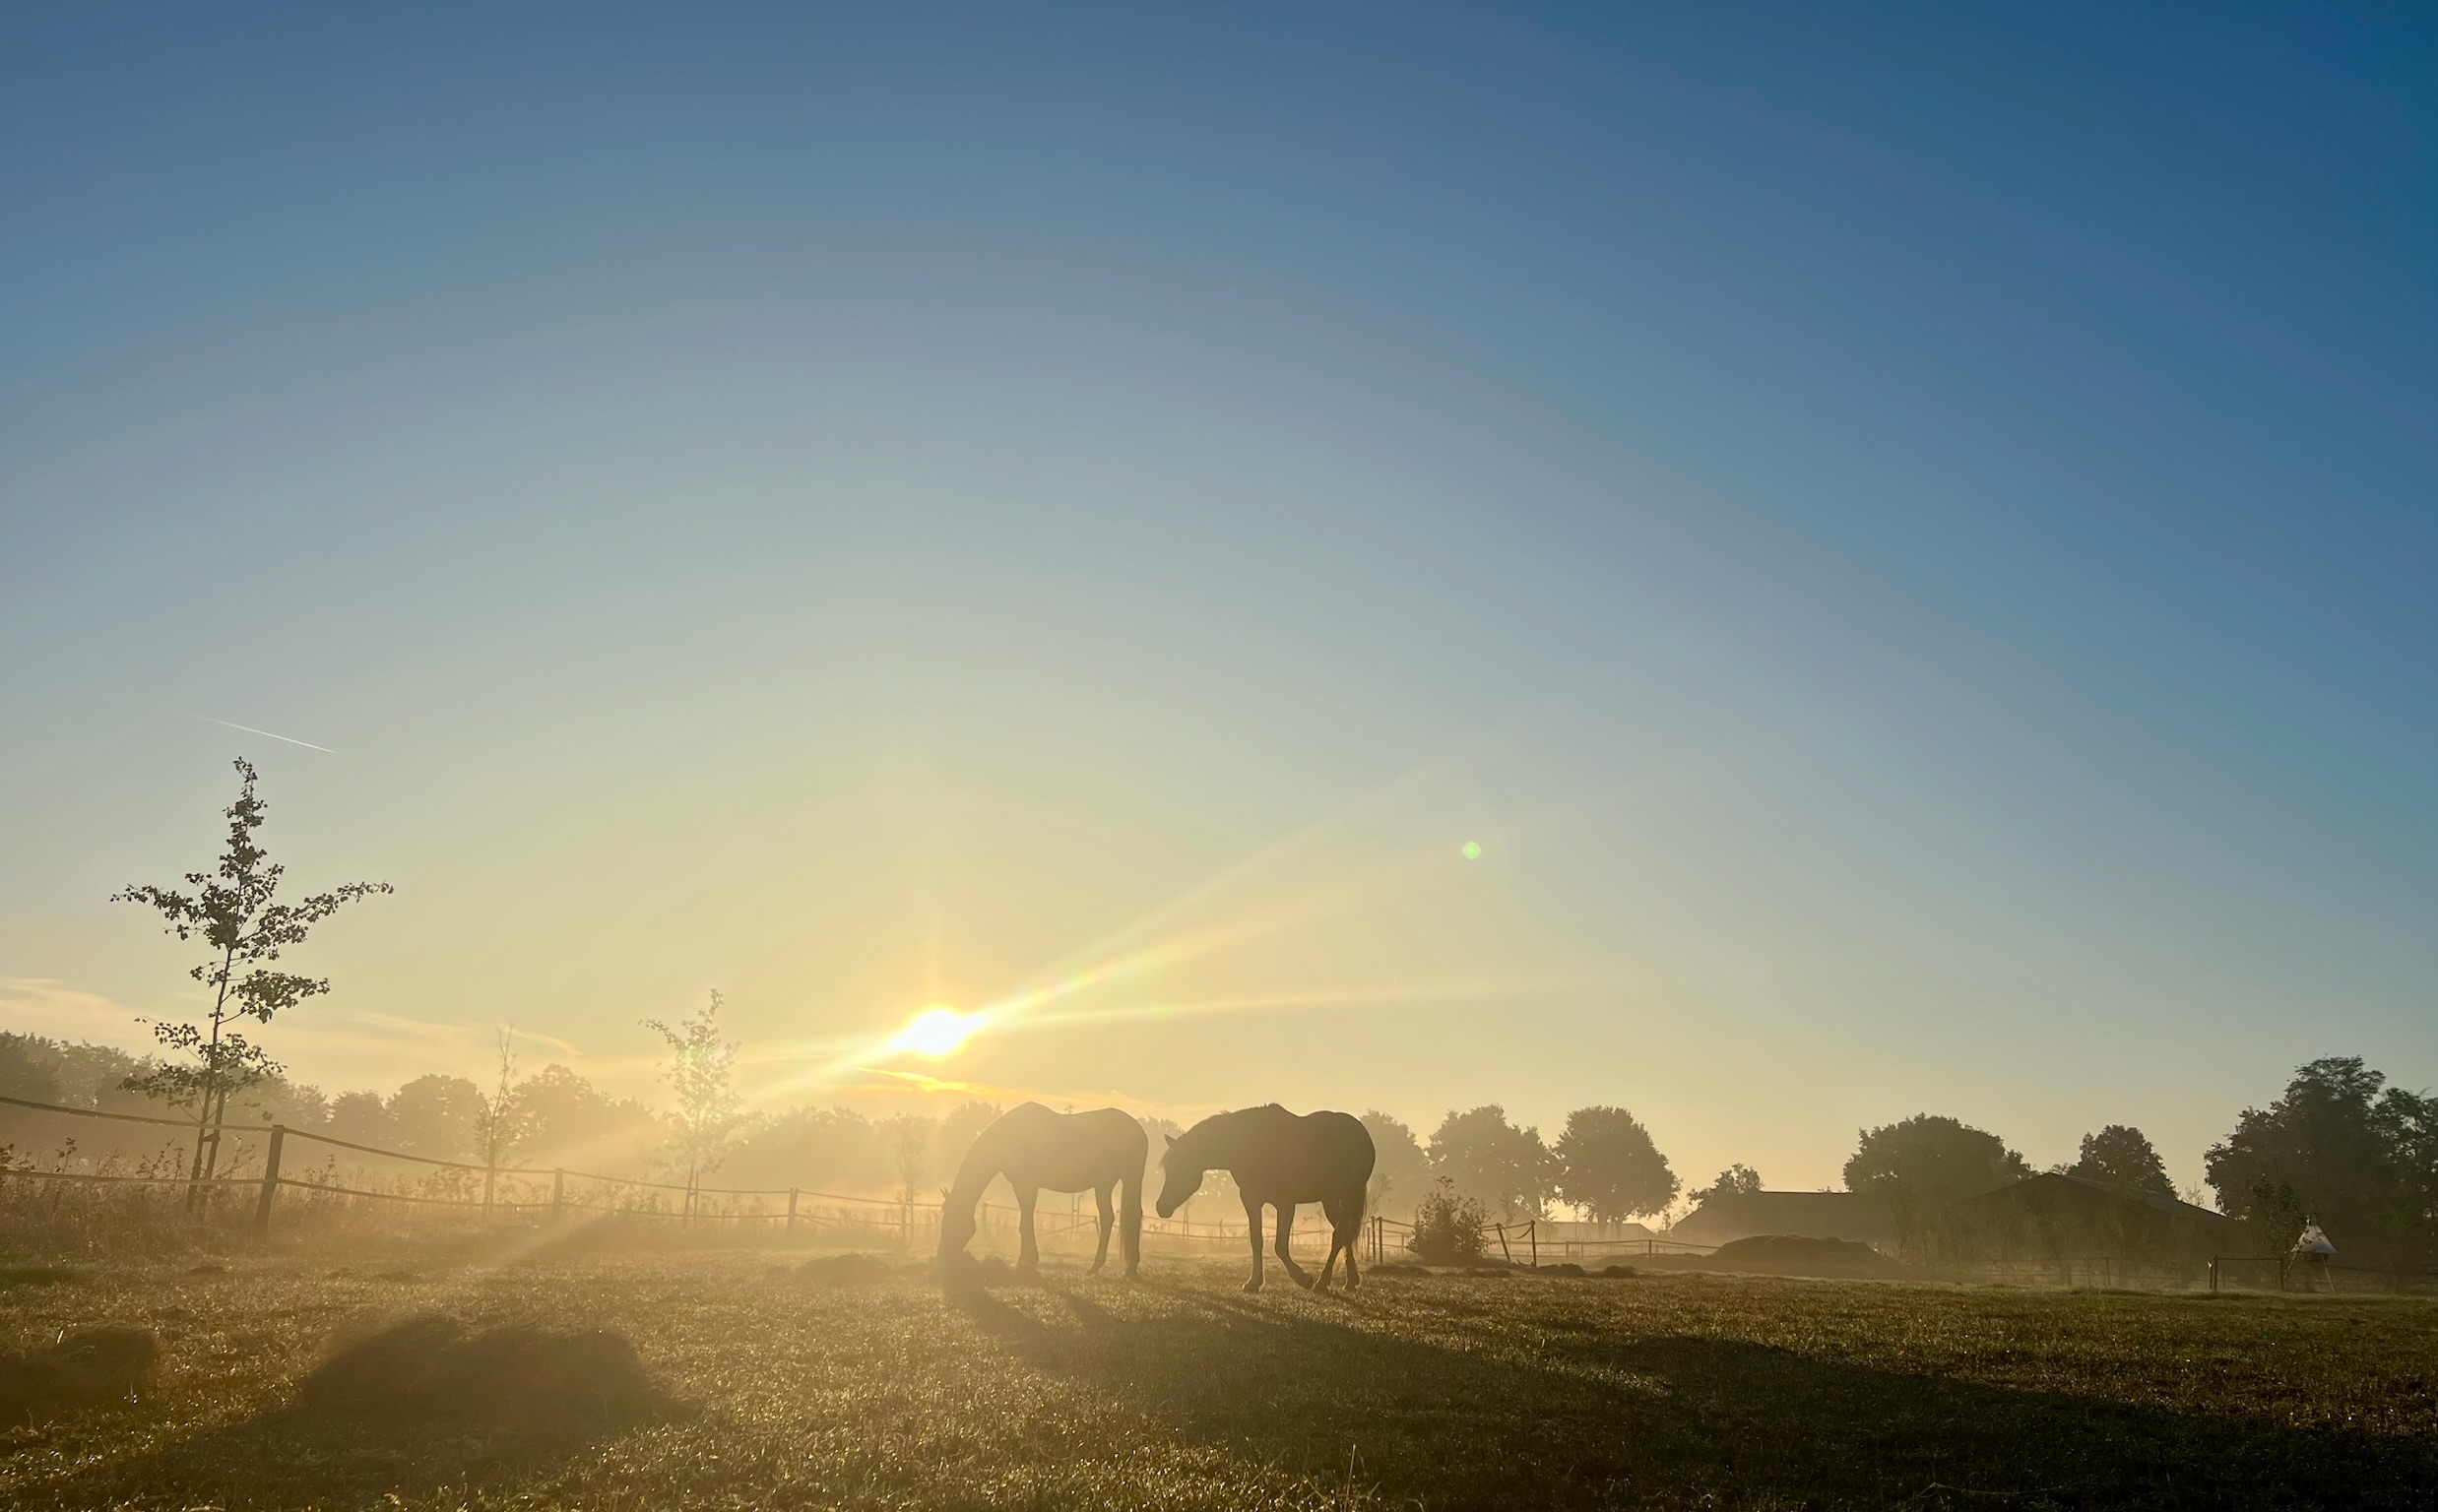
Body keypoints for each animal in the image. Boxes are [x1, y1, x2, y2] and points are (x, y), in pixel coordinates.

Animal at [937, 1102, 1148, 1278]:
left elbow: (1024, 1224)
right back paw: (1102, 1267)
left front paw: (1026, 1263)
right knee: (1109, 1218)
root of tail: (1139, 1131)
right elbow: (1026, 1221)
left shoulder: (1025, 1185)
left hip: (1125, 1179)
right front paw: (1026, 1261)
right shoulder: (1024, 1186)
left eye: (952, 1220)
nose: (942, 1256)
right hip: (1105, 1184)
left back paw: (1124, 1267)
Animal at [1156, 1105, 1374, 1293]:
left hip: (1348, 1195)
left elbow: (1280, 1246)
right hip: (1330, 1200)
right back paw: (1350, 1281)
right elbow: (1256, 1240)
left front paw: (1303, 1278)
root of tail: (1363, 1134)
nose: (1160, 1207)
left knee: (1338, 1235)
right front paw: (1253, 1282)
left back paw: (1322, 1283)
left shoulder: (1285, 1204)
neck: (1251, 1146)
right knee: (1344, 1234)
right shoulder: (1251, 1201)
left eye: (1181, 1165)